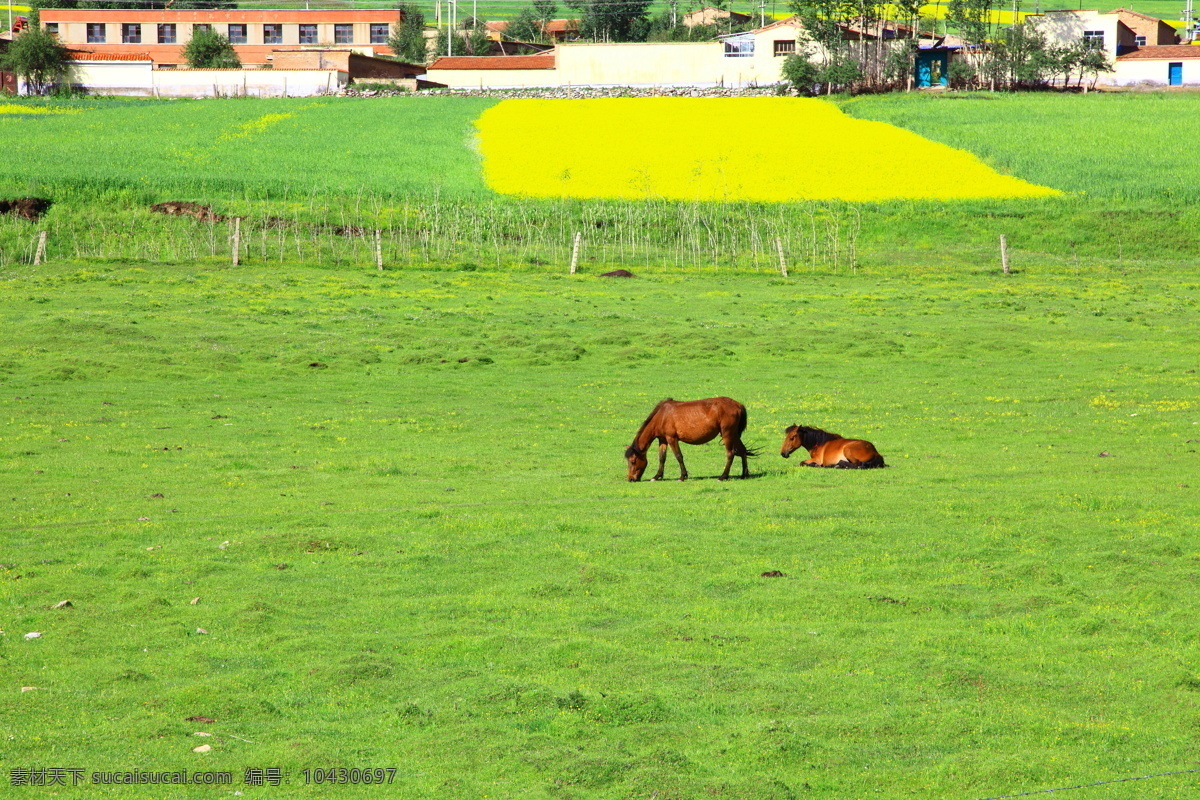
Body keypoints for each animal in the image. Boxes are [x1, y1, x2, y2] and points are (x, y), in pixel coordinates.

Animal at [624, 395, 753, 482]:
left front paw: (682, 476)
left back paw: (723, 476)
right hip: (734, 434)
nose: (631, 479)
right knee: (742, 450)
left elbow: (678, 456)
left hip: (727, 434)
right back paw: (744, 474)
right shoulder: (663, 439)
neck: (662, 416)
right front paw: (657, 476)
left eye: (633, 461)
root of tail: (738, 405)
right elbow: (662, 458)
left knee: (730, 454)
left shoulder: (672, 438)